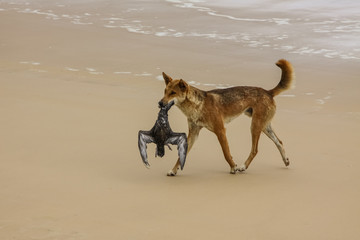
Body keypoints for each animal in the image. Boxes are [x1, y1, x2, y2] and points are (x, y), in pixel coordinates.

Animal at [159, 59, 294, 175]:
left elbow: (226, 153)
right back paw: (286, 160)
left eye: (173, 93)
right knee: (279, 142)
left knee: (255, 150)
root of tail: (268, 92)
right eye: (165, 92)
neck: (198, 105)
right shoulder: (193, 134)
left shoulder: (220, 131)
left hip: (255, 126)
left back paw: (243, 166)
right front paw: (173, 170)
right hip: (264, 126)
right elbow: (181, 156)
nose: (160, 103)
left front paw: (233, 167)